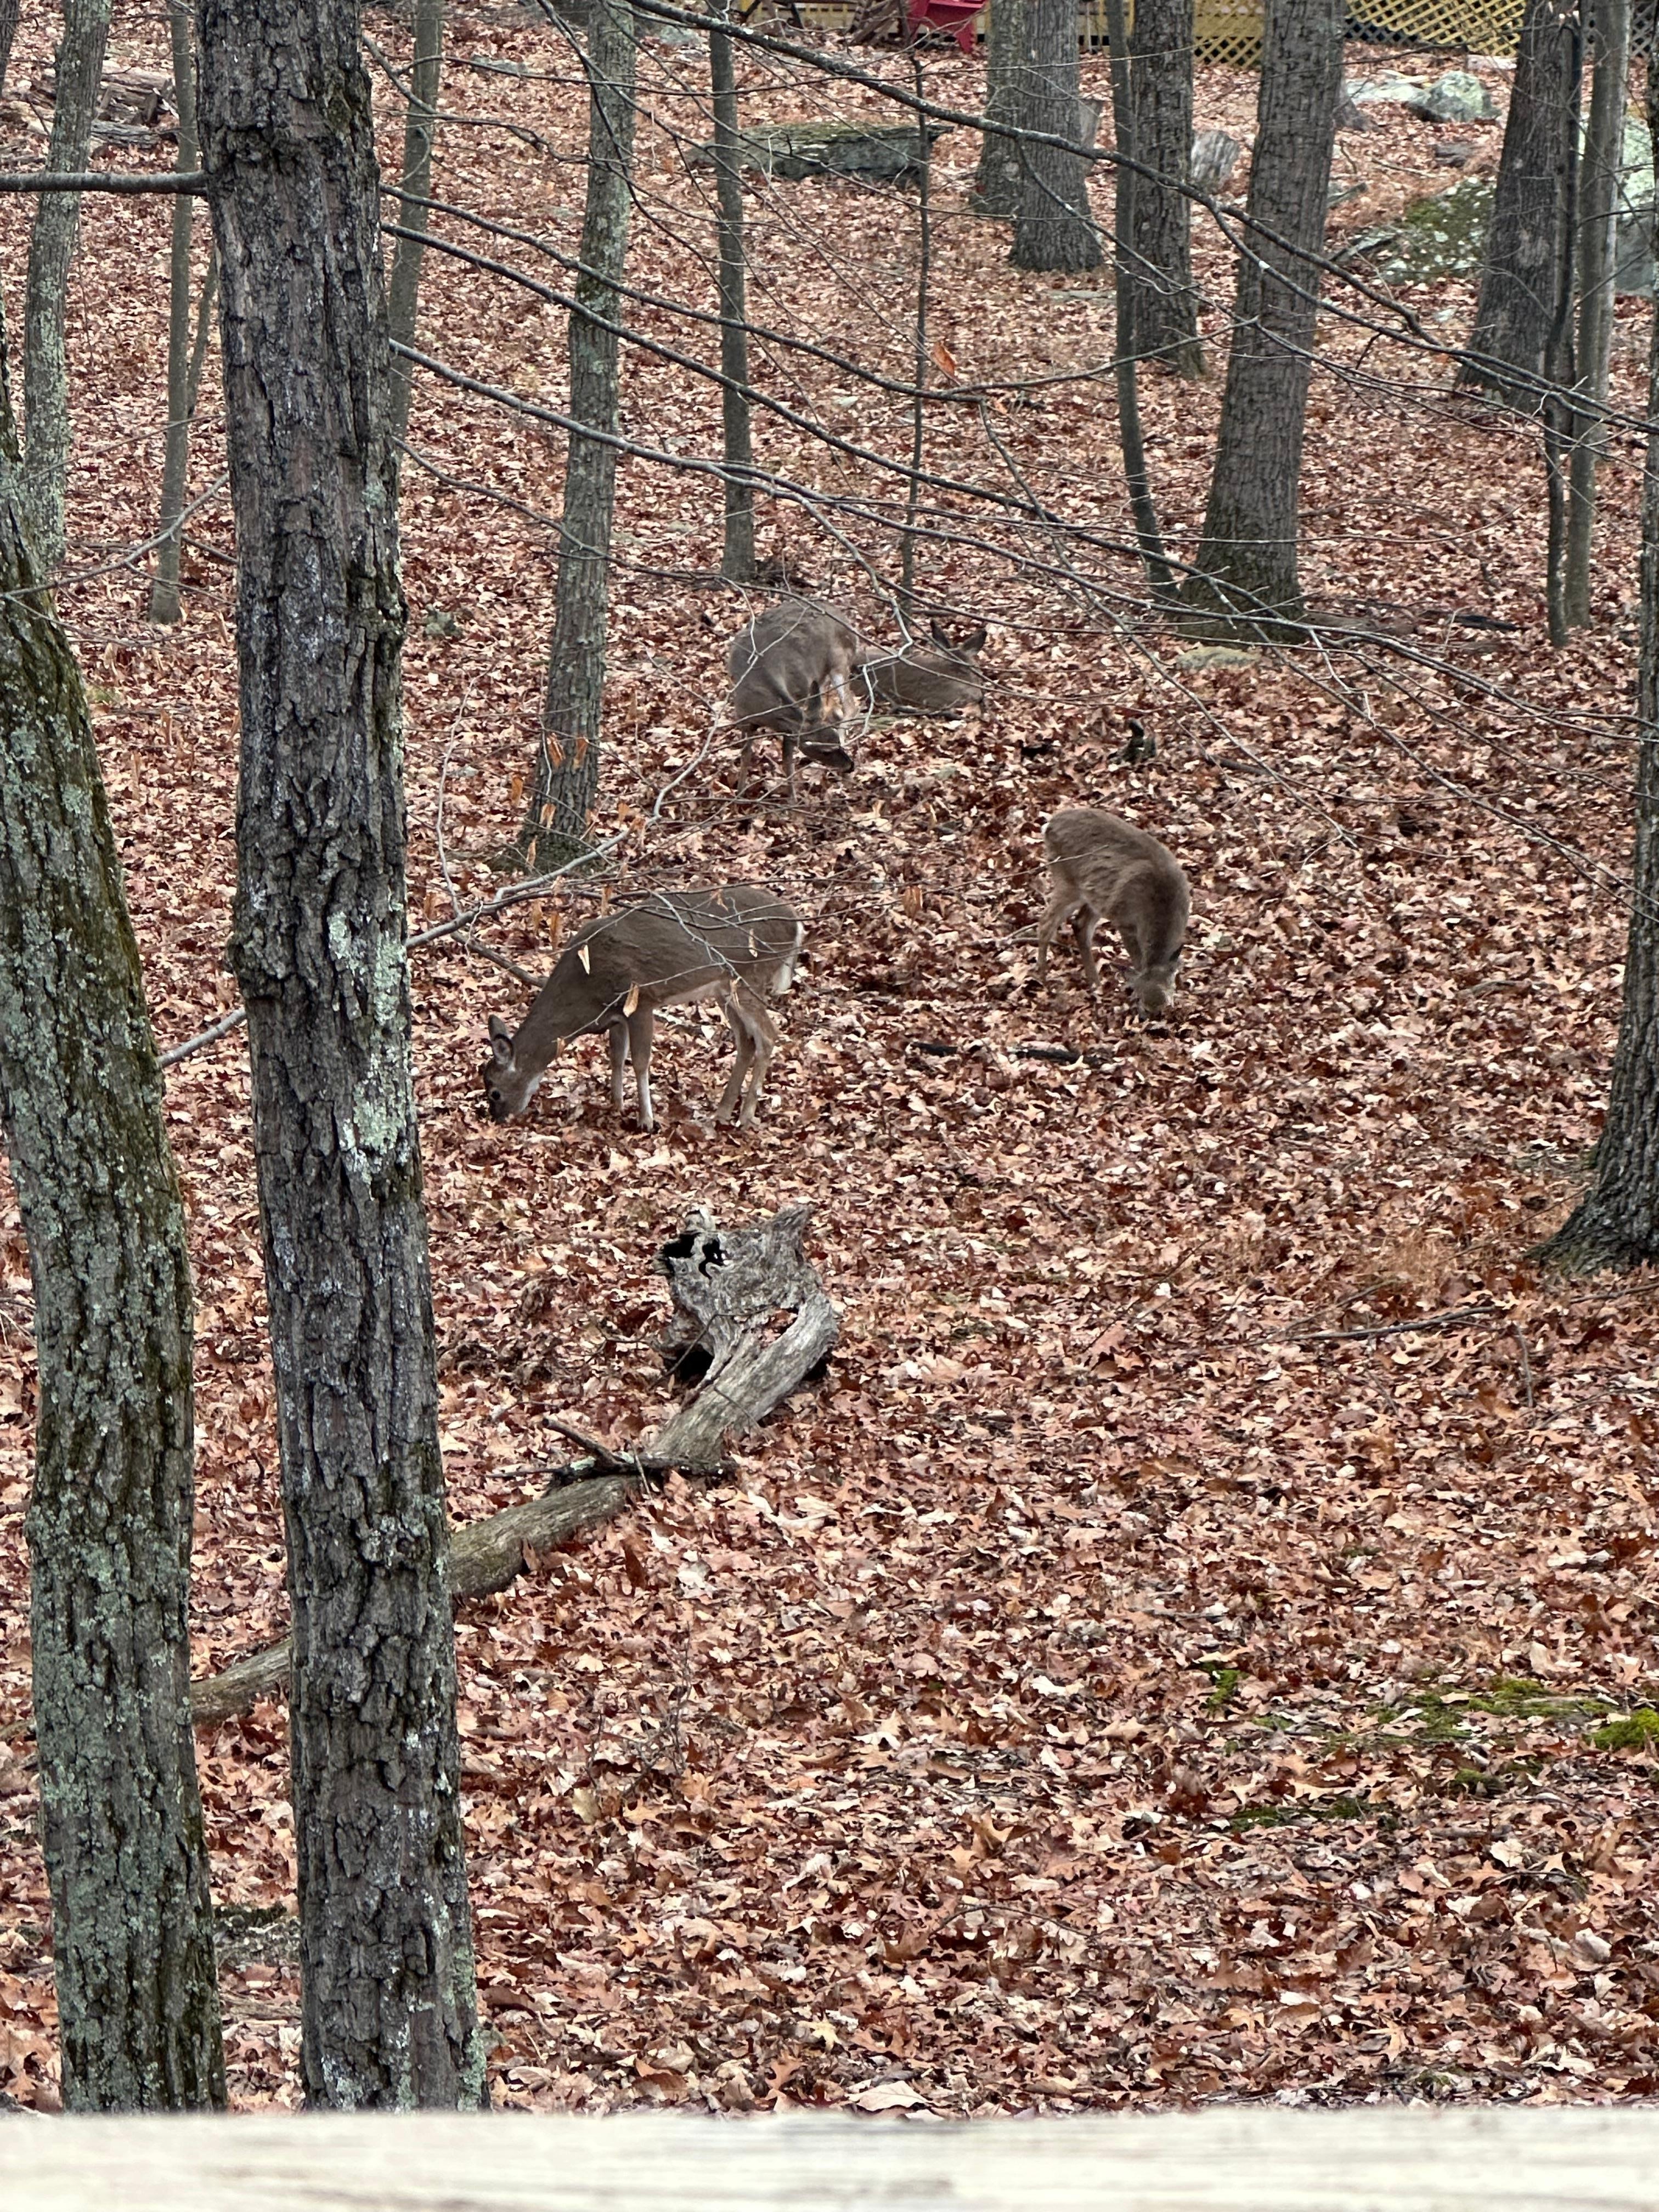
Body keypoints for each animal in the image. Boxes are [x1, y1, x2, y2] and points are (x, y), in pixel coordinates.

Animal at [482, 886, 805, 1132]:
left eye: (495, 1091)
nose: (498, 1119)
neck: (585, 994)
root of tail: (796, 923)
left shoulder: (640, 1000)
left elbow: (639, 1061)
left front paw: (646, 1120)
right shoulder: (616, 1016)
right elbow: (616, 1056)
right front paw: (616, 1104)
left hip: (750, 975)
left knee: (768, 1036)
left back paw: (746, 1116)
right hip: (724, 988)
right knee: (746, 1040)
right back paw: (723, 1112)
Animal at [727, 601, 860, 798]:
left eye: (835, 743)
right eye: (825, 751)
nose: (850, 765)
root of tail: (846, 621)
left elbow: (786, 761)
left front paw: (793, 799)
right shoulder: (744, 717)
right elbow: (746, 755)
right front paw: (740, 793)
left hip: (840, 660)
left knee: (850, 706)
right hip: (822, 679)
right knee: (834, 708)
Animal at [1035, 809, 1190, 1019]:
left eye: (1168, 998)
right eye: (1141, 999)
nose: (1152, 1015)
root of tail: (1050, 824)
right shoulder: (1125, 921)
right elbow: (1138, 961)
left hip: (1097, 897)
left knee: (1079, 924)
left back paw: (1095, 984)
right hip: (1067, 880)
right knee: (1046, 923)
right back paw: (1044, 977)